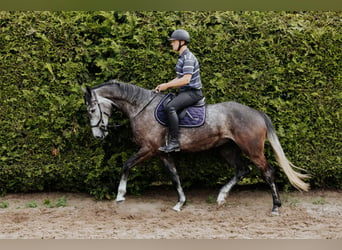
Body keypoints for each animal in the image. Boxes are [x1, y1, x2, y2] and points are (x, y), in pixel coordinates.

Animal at [83, 80, 310, 215]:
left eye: (92, 109)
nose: (98, 135)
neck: (141, 108)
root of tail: (257, 113)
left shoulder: (149, 148)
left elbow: (126, 165)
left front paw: (120, 195)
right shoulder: (162, 153)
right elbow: (174, 176)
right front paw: (180, 202)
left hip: (252, 150)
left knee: (268, 172)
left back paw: (275, 206)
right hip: (227, 149)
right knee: (242, 170)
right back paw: (221, 196)